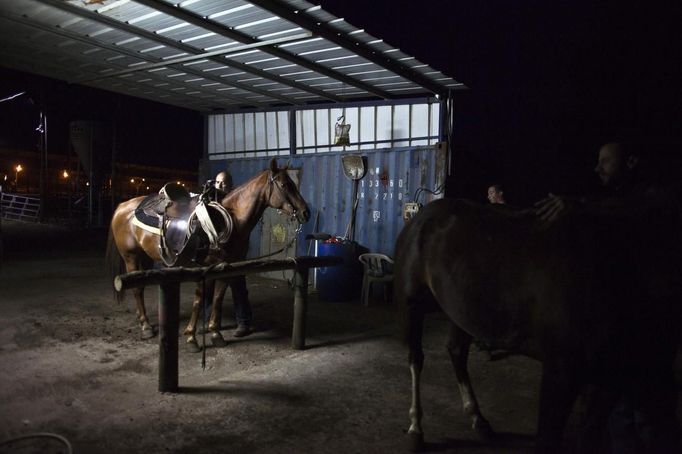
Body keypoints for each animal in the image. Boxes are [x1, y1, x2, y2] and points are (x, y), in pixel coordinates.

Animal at [105, 158, 310, 350]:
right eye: (284, 185)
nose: (305, 212)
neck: (229, 218)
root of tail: (123, 206)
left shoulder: (225, 268)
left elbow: (217, 298)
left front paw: (215, 334)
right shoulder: (203, 268)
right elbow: (199, 299)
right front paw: (191, 337)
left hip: (146, 257)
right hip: (130, 257)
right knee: (137, 289)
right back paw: (146, 327)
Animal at [394, 200, 680, 454]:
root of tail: (420, 217)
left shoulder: (604, 382)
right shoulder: (560, 370)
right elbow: (547, 440)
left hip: (459, 311)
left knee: (456, 353)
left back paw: (479, 419)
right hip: (412, 304)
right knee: (416, 360)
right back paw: (416, 429)